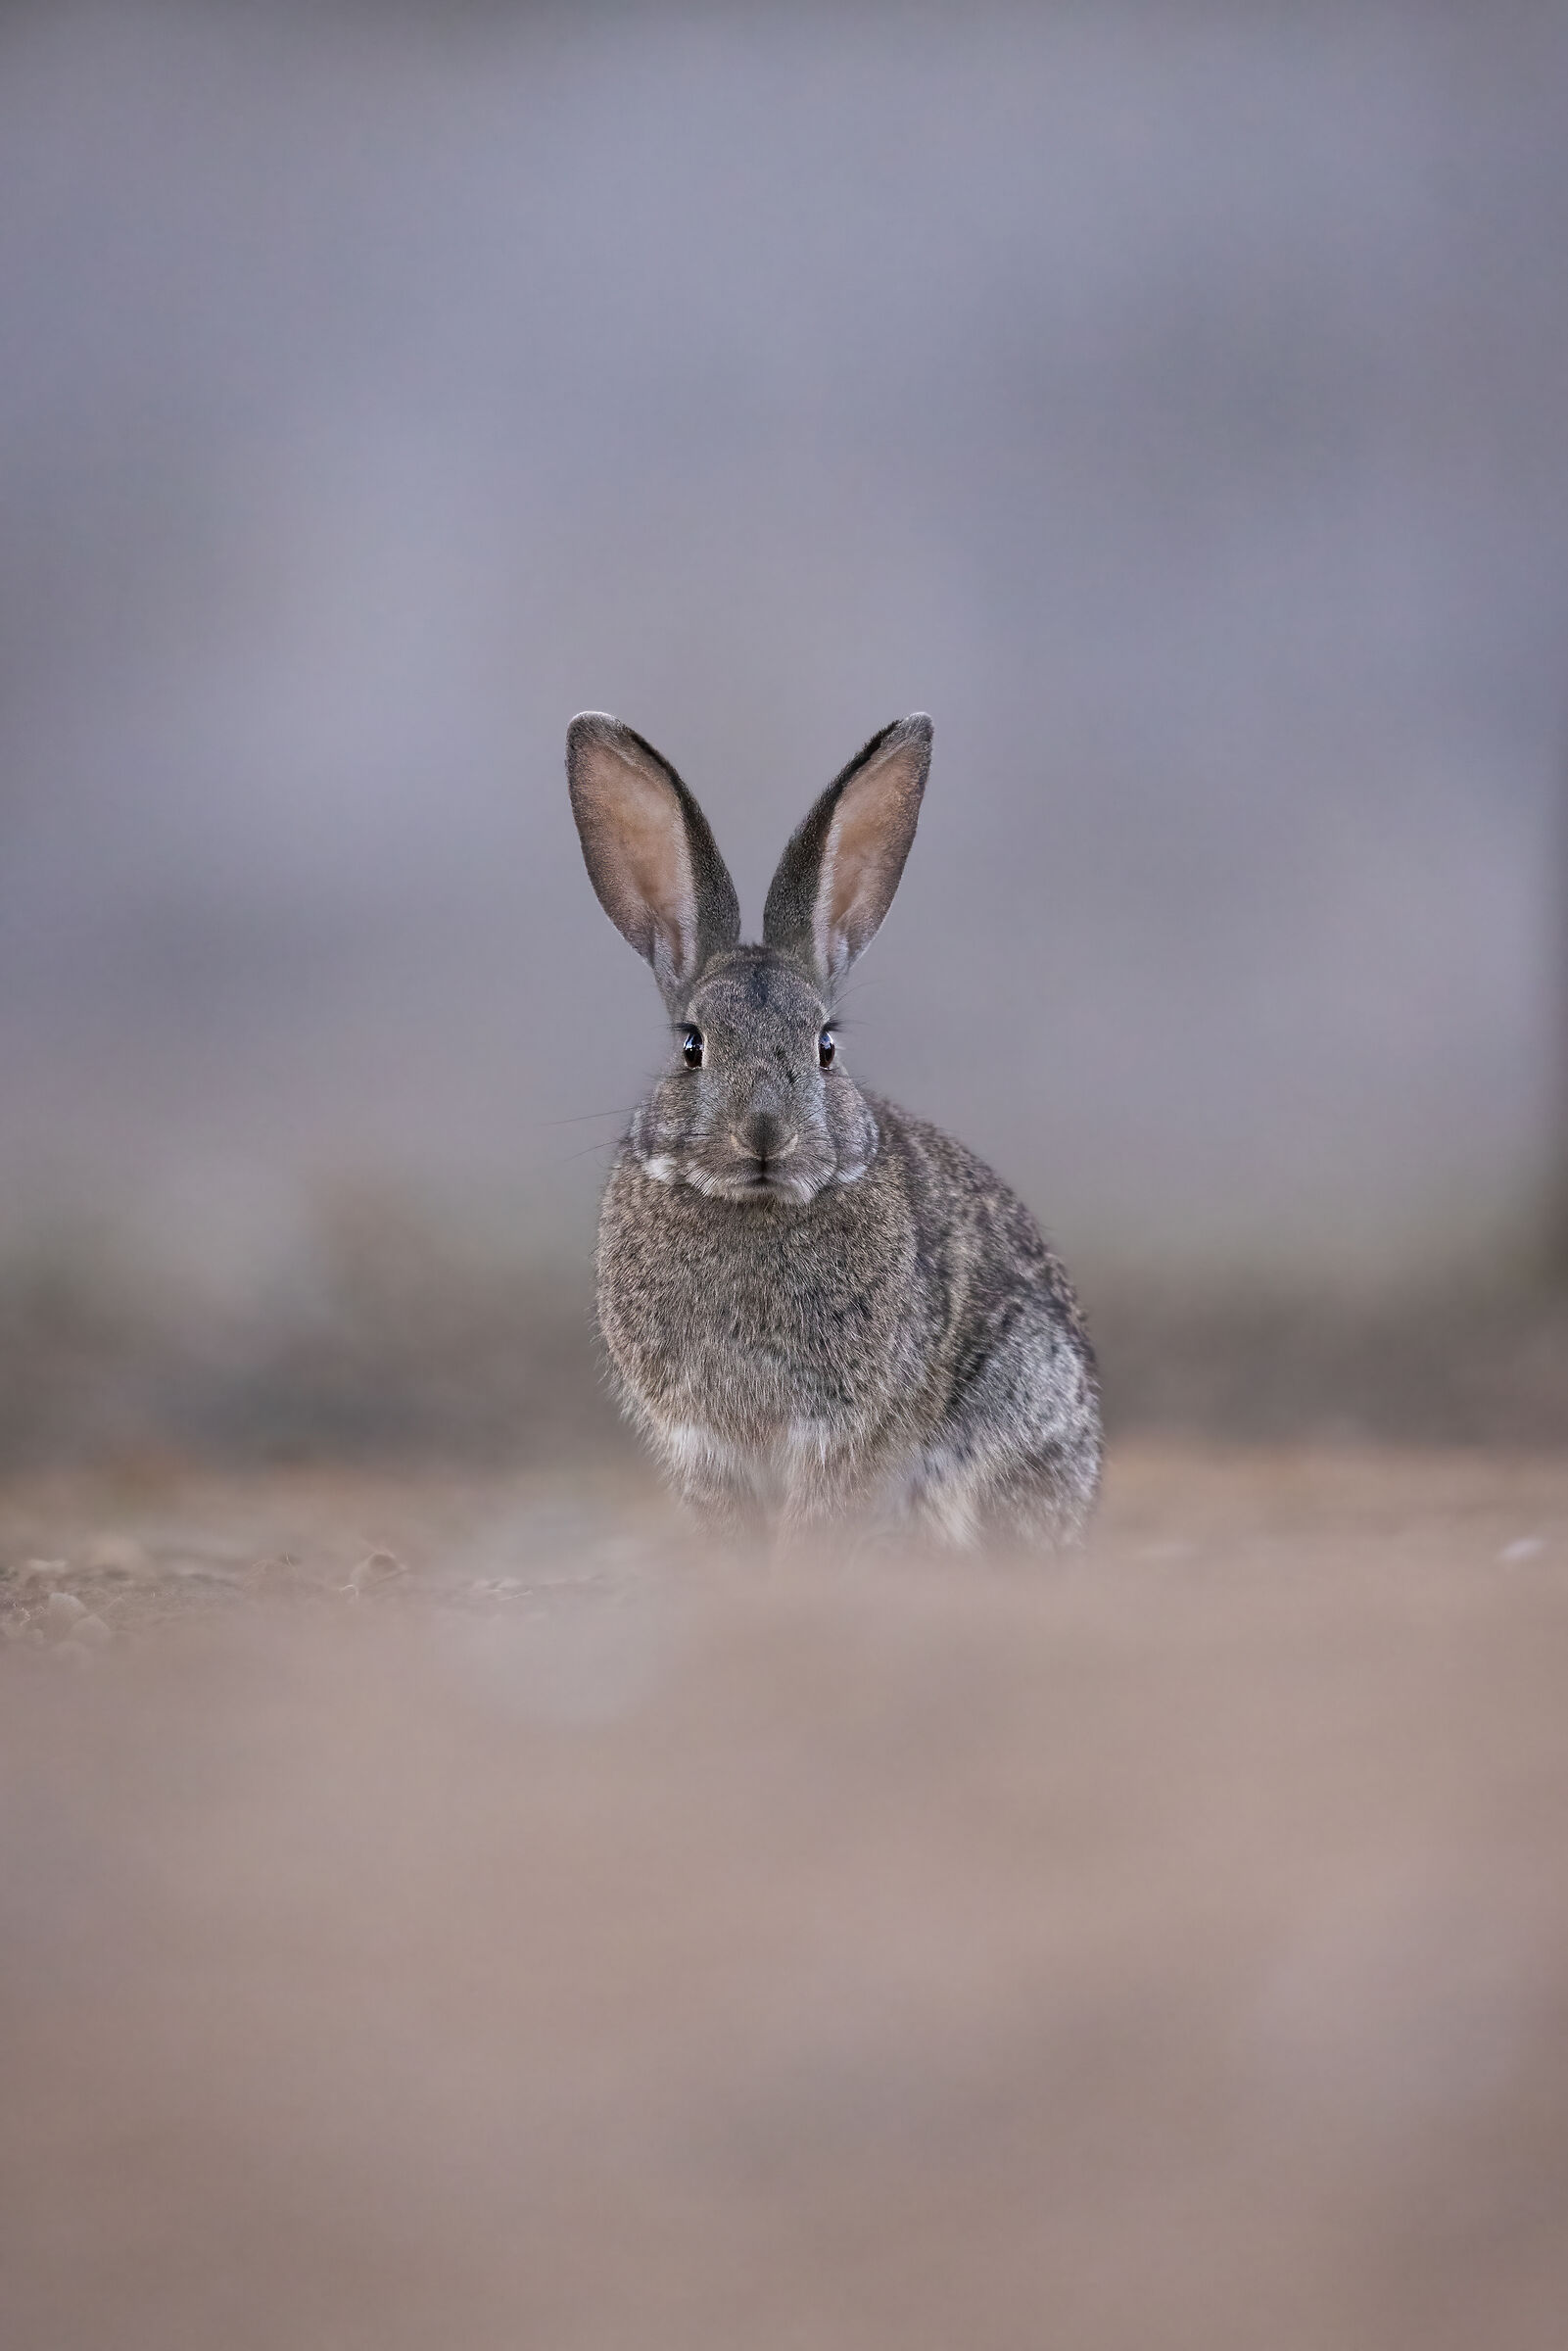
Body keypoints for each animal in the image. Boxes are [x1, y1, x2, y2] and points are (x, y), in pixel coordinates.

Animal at [566, 711, 1102, 1548]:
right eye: (691, 1045)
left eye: (824, 1046)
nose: (763, 1133)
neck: (753, 1207)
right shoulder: (701, 1442)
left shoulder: (846, 1431)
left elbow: (819, 1518)